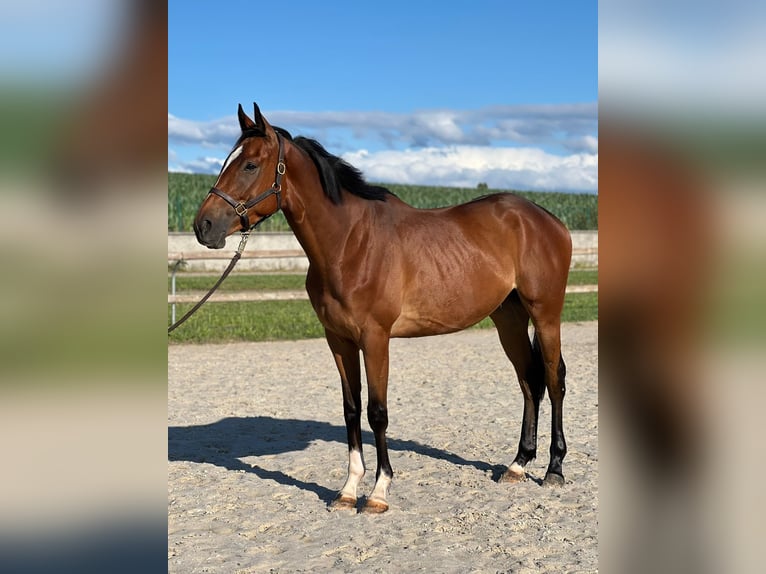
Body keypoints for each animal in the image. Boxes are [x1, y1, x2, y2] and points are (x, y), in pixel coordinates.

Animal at [195, 102, 572, 512]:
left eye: (249, 165)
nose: (203, 226)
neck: (350, 243)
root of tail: (545, 218)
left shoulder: (375, 338)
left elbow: (377, 412)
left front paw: (378, 492)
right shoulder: (339, 340)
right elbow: (352, 410)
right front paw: (347, 491)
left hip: (546, 315)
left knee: (554, 380)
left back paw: (553, 470)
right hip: (508, 318)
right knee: (529, 380)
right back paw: (518, 464)